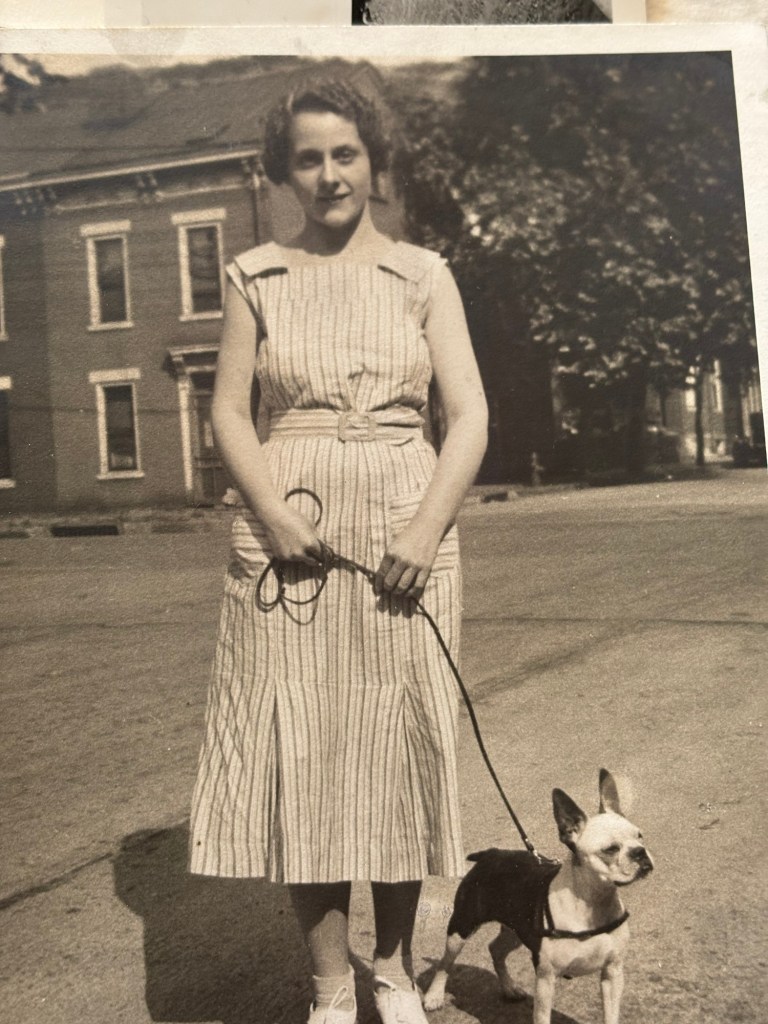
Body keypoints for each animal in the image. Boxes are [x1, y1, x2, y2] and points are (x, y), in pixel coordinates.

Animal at [423, 769, 653, 1024]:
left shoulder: (613, 973)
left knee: (496, 949)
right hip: (462, 925)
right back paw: (433, 996)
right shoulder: (546, 977)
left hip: (516, 930)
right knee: (445, 962)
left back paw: (509, 988)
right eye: (611, 849)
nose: (640, 852)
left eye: (640, 836)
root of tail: (490, 854)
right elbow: (542, 1016)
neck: (593, 902)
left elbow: (611, 1014)